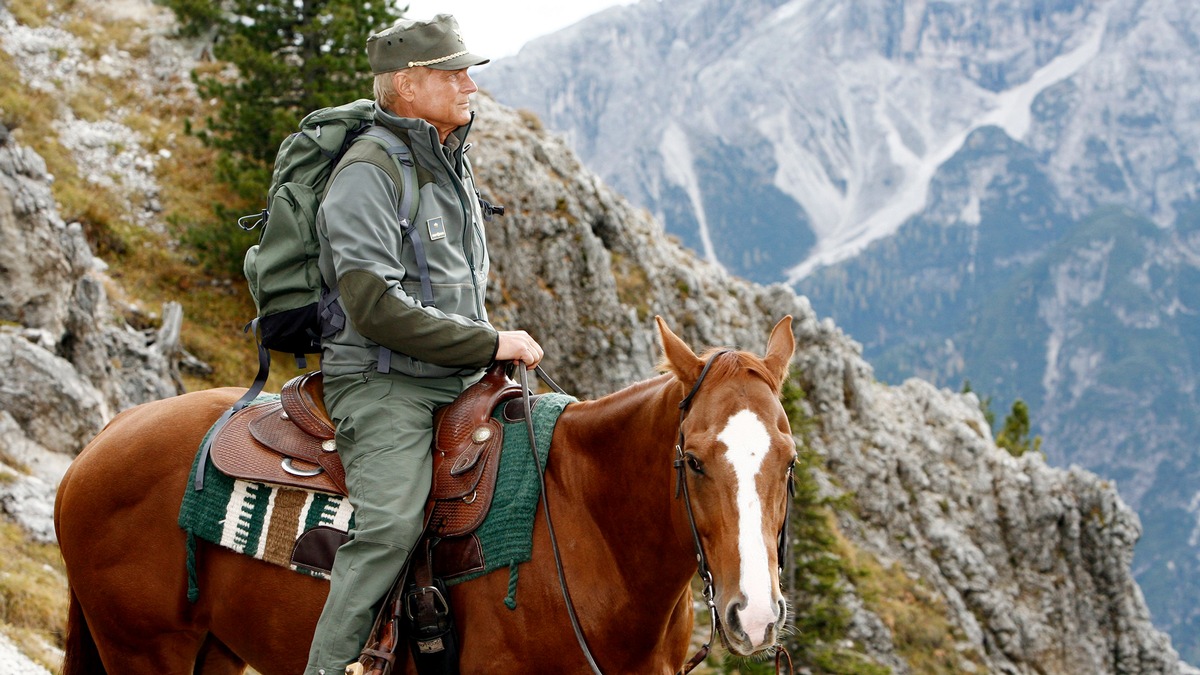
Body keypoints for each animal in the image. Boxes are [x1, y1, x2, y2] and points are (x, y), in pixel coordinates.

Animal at [56, 314, 801, 672]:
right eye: (695, 460)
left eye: (789, 461)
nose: (755, 616)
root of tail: (104, 438)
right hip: (145, 651)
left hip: (215, 651)